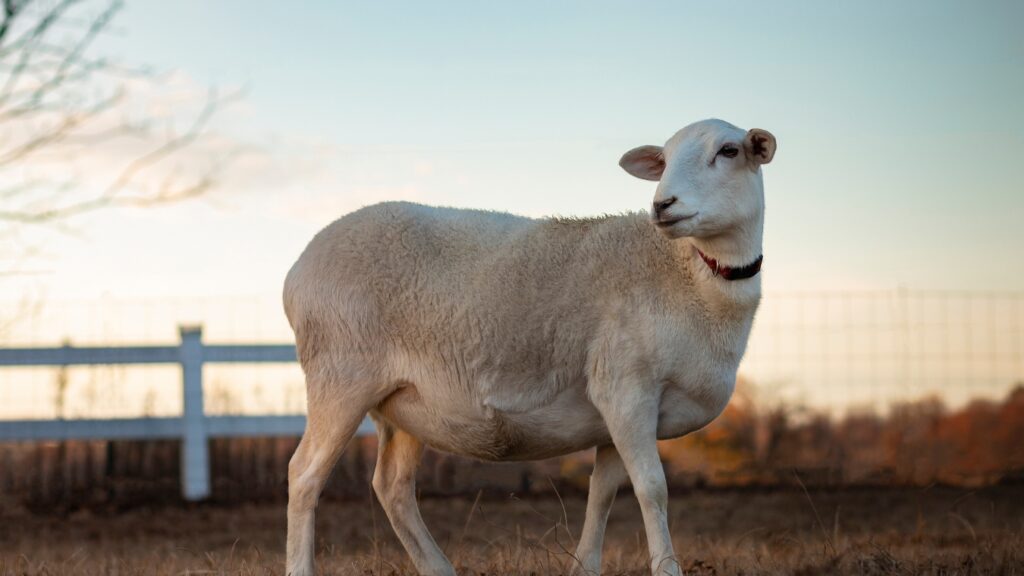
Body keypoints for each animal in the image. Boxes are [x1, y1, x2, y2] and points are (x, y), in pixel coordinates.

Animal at [280, 117, 774, 573]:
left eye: (729, 151)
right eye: (664, 161)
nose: (662, 205)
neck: (691, 274)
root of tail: (296, 270)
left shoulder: (622, 409)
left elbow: (603, 492)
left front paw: (584, 568)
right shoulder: (626, 387)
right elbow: (652, 488)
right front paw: (667, 569)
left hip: (404, 402)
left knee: (393, 487)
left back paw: (438, 567)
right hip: (340, 375)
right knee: (304, 475)